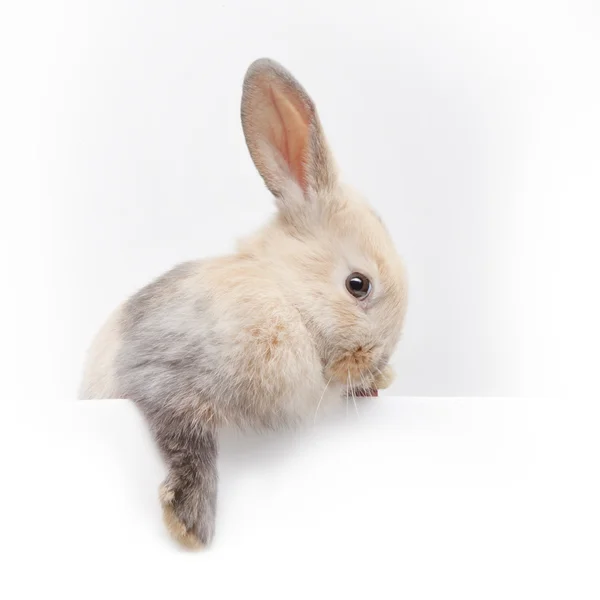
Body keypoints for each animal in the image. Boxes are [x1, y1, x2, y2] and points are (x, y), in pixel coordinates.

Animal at [78, 58, 408, 552]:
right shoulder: (163, 376)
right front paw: (190, 523)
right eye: (357, 285)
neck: (286, 298)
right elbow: (187, 439)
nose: (381, 362)